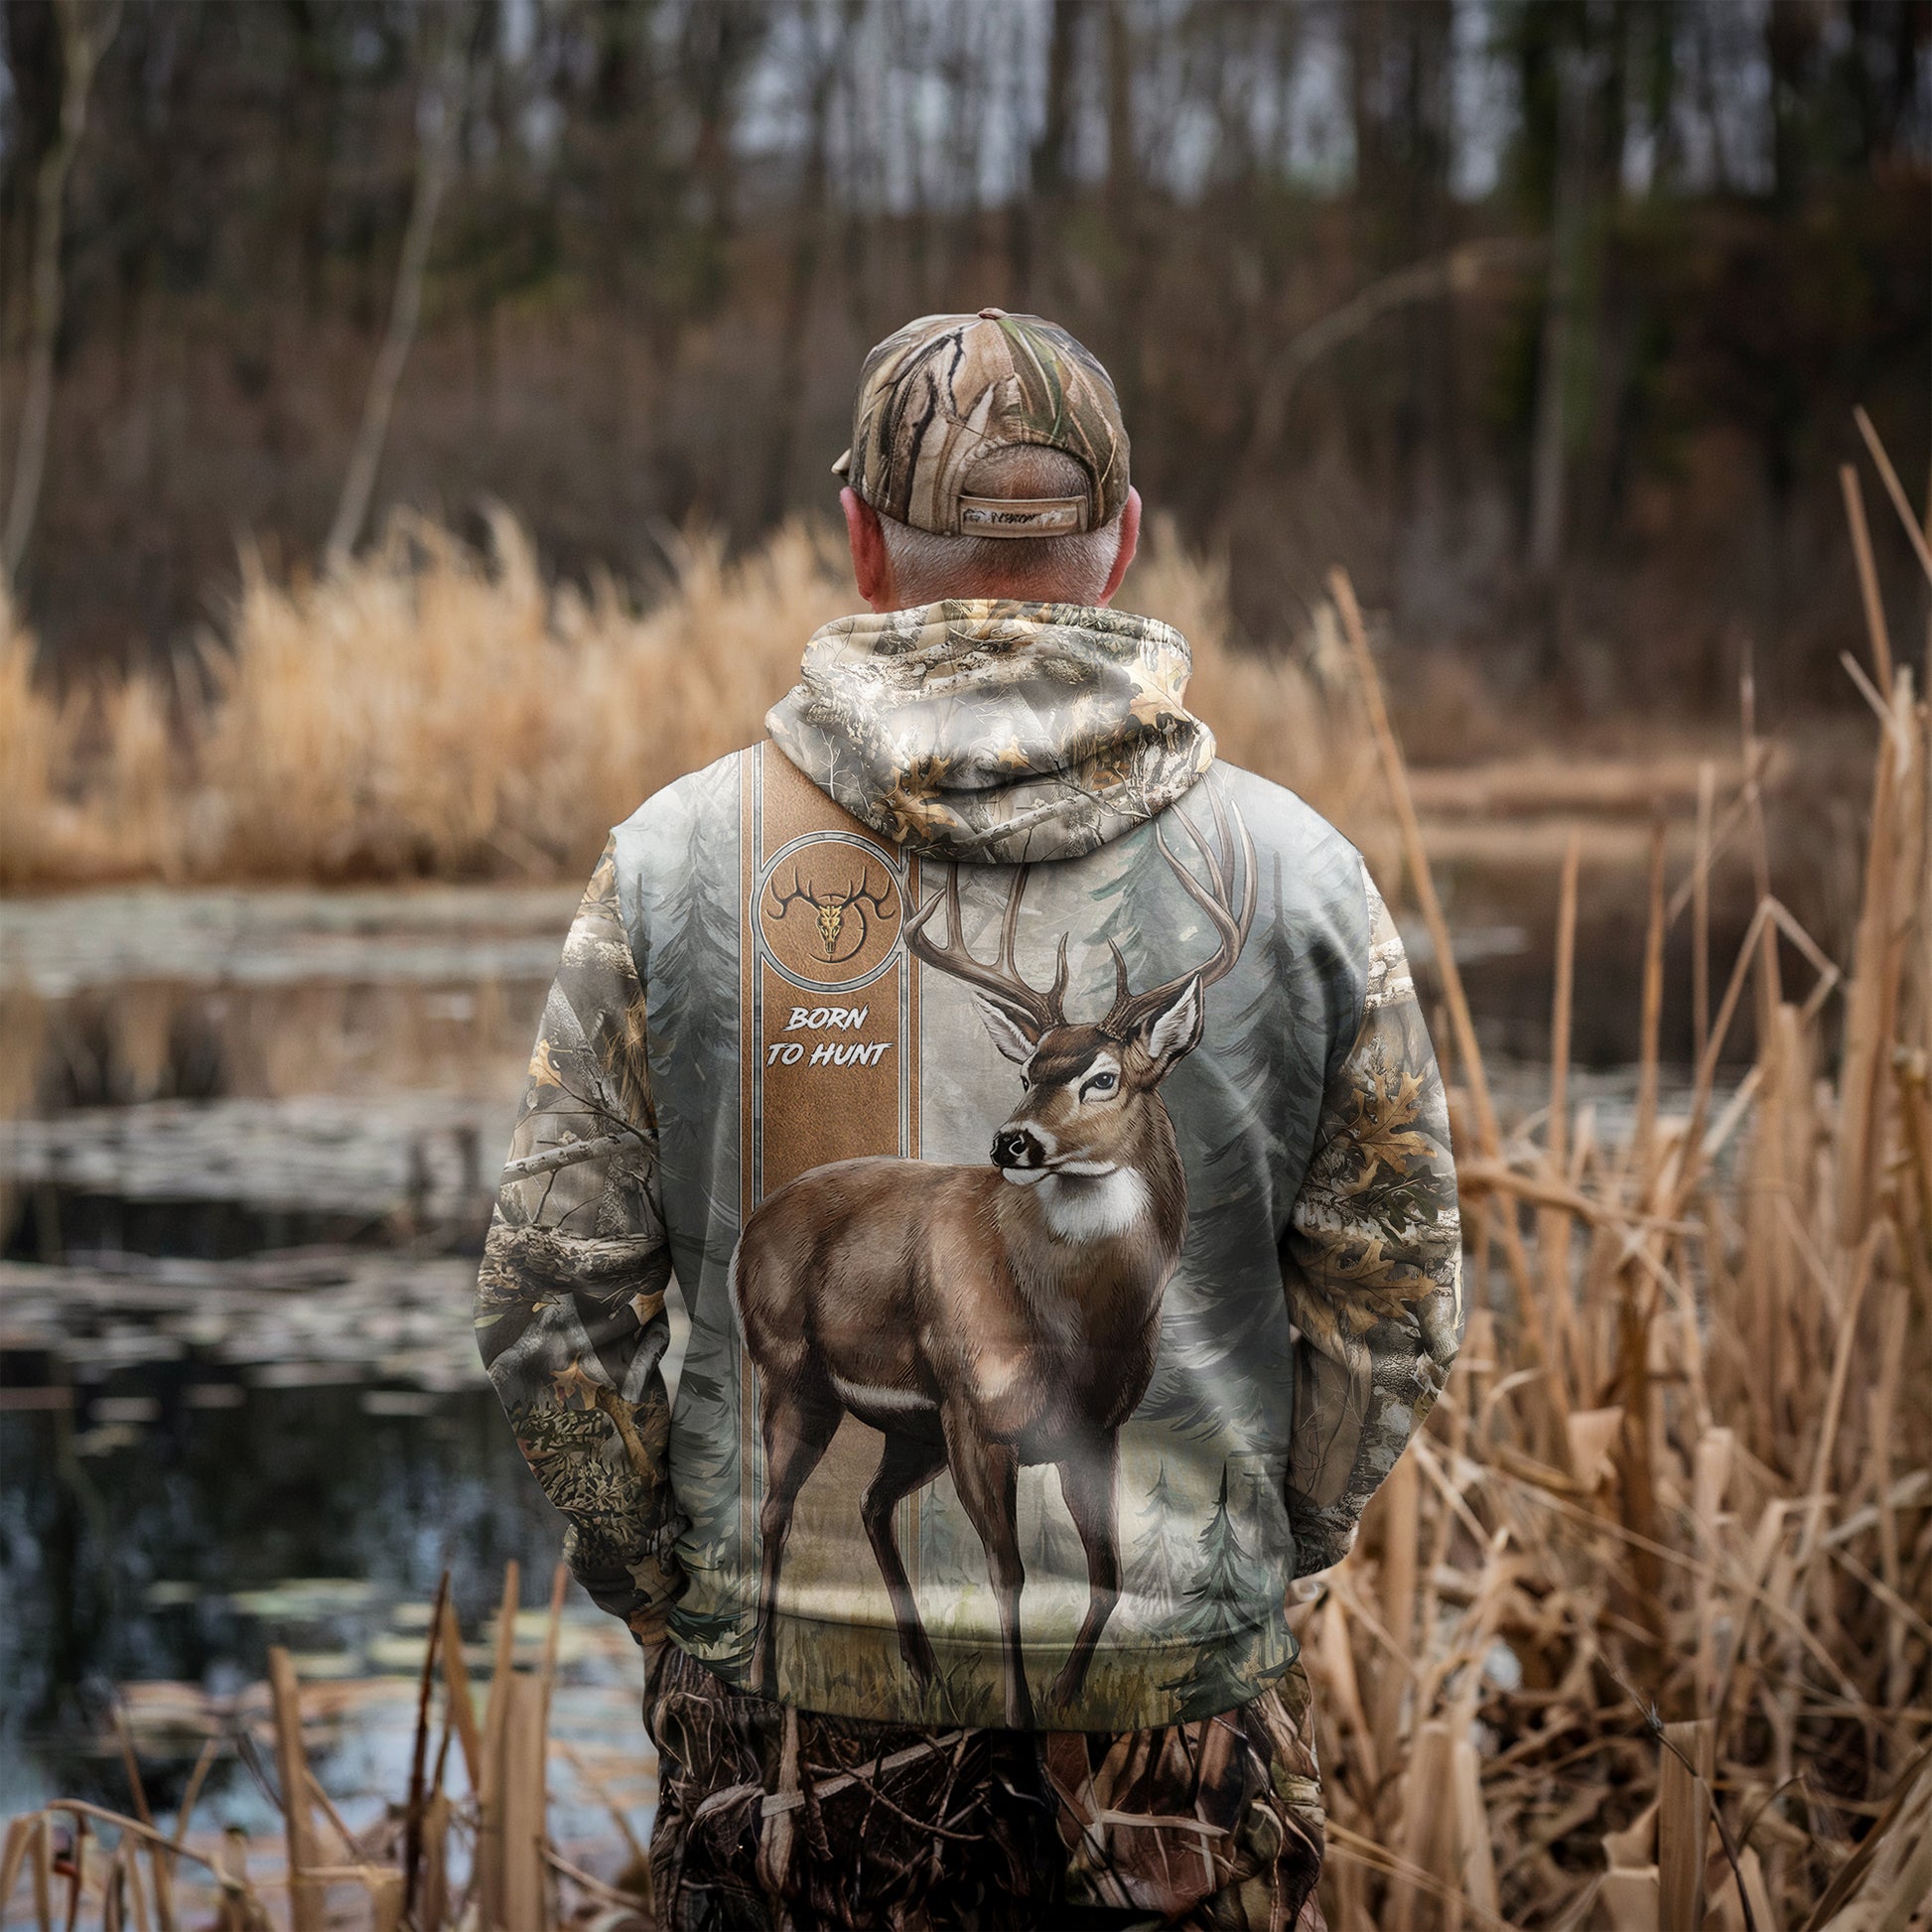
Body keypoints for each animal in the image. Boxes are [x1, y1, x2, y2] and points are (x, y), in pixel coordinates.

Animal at [730, 791, 1259, 1730]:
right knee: (774, 1515)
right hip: (796, 1375)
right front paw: (1017, 1707)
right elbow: (1007, 1573)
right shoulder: (977, 1411)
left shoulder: (1093, 1428)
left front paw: (1068, 1694)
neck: (1071, 1322)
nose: (1012, 1141)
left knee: (868, 1506)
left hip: (909, 1427)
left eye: (1103, 1078)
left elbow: (1105, 1572)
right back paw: (764, 1669)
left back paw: (923, 1670)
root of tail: (760, 1217)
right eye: (1029, 1071)